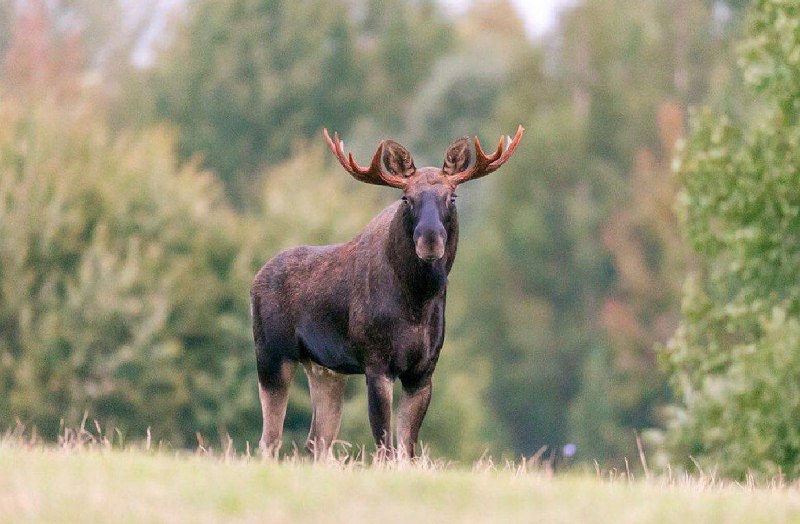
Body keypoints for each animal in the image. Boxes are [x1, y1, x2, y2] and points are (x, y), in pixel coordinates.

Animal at [251, 125, 524, 459]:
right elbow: (385, 446)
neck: (417, 302)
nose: (430, 240)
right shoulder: (377, 363)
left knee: (317, 440)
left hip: (325, 369)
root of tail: (255, 279)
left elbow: (408, 448)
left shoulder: (423, 371)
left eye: (453, 197)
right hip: (272, 354)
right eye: (406, 198)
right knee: (269, 439)